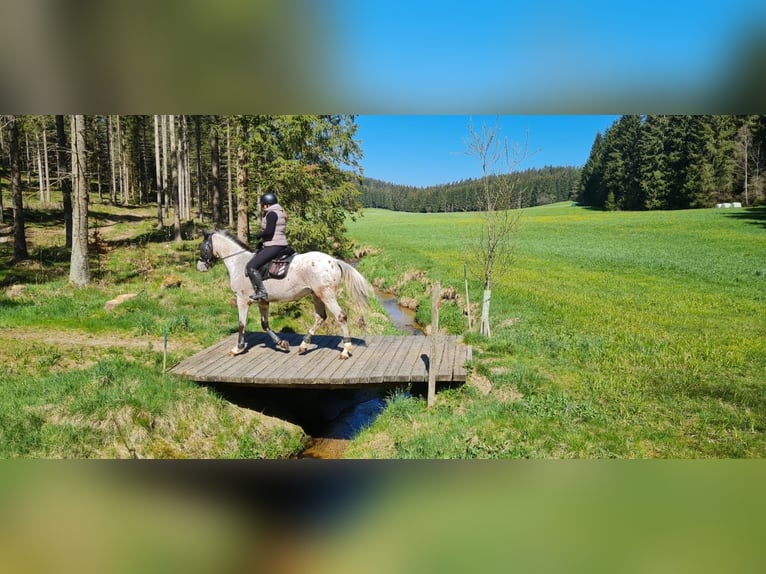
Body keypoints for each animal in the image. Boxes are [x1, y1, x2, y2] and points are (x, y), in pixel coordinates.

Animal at [196, 231, 374, 360]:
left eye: (202, 247)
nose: (200, 267)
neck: (238, 262)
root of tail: (334, 261)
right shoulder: (263, 301)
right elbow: (265, 324)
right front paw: (282, 343)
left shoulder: (242, 300)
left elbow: (241, 325)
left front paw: (237, 349)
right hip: (316, 295)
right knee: (320, 317)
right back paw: (304, 345)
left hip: (327, 295)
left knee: (340, 317)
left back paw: (345, 350)